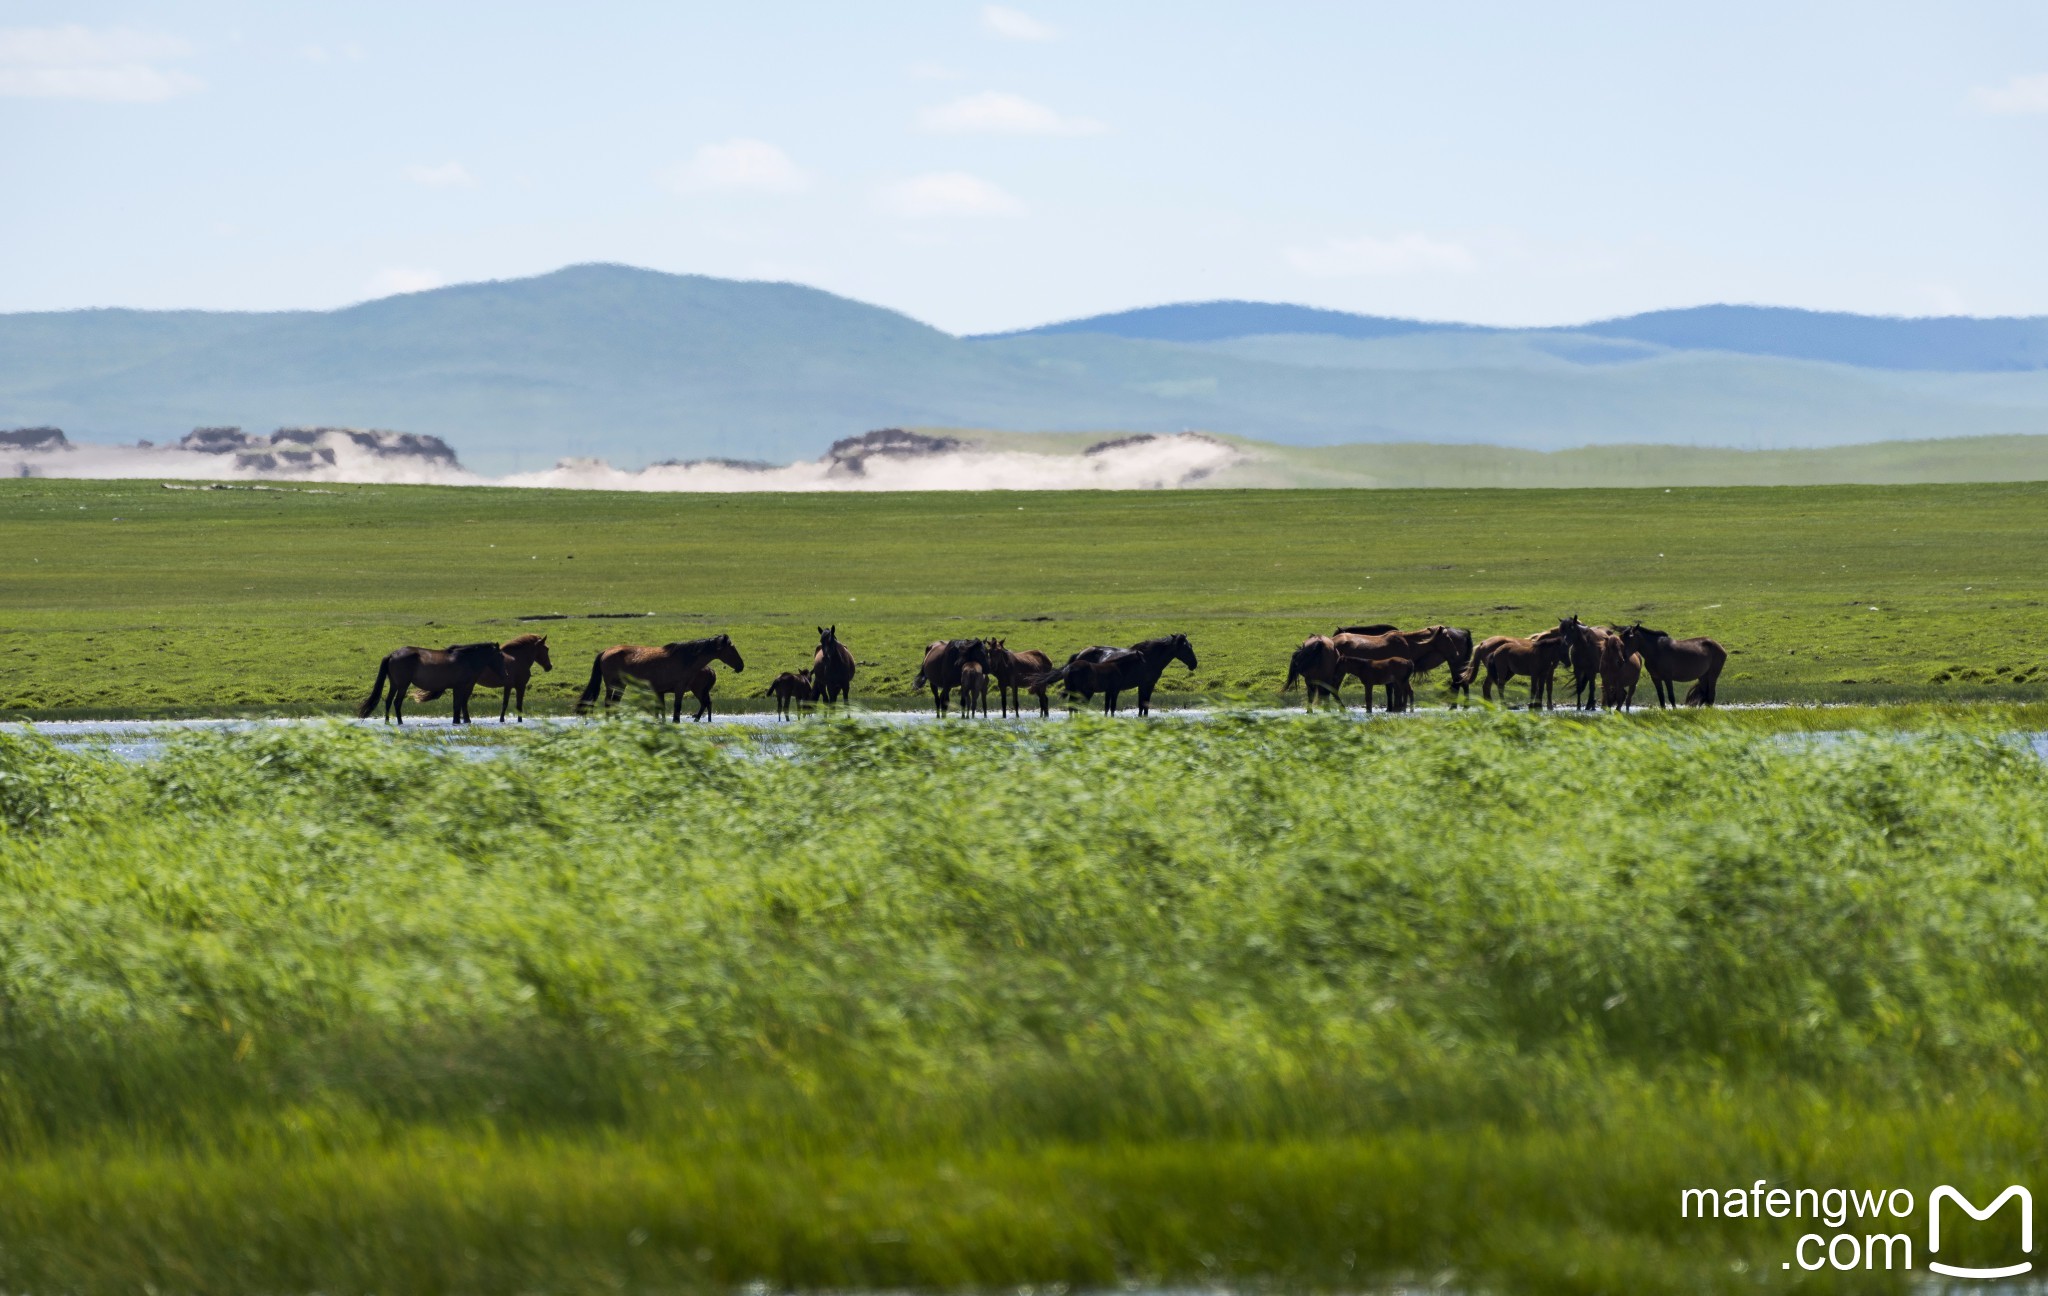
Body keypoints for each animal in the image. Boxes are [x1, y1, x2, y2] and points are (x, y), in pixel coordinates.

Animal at [356, 638, 499, 724]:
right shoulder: (459, 687)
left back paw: (387, 722)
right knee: (397, 702)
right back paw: (400, 722)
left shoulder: (457, 687)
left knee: (388, 701)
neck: (466, 659)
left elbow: (457, 704)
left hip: (394, 684)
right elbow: (458, 704)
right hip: (403, 685)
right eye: (501, 656)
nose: (503, 671)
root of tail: (392, 654)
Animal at [581, 634, 749, 724]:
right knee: (609, 702)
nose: (741, 666)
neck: (685, 659)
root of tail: (605, 652)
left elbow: (661, 709)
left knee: (614, 702)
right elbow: (676, 707)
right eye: (732, 649)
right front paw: (675, 722)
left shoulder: (661, 691)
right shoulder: (679, 689)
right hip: (613, 684)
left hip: (620, 686)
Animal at [1032, 630, 1196, 712]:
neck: (1149, 658)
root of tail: (1079, 655)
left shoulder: (1147, 685)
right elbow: (1142, 704)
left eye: (1191, 646)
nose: (1194, 664)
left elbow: (1143, 704)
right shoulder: (1144, 685)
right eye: (1185, 648)